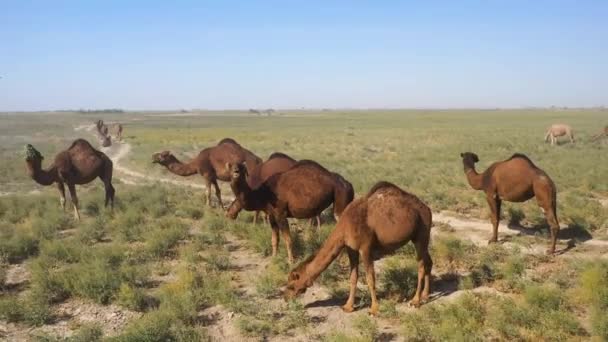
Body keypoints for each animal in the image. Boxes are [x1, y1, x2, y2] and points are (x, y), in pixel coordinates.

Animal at [226, 160, 354, 262]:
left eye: (242, 168)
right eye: (231, 166)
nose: (236, 172)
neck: (264, 194)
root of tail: (349, 184)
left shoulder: (281, 214)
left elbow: (288, 239)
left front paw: (291, 261)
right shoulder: (272, 216)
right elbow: (275, 239)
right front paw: (274, 258)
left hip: (340, 202)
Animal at [284, 182, 432, 316]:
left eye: (291, 285)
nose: (285, 297)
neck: (345, 226)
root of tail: (428, 209)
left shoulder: (365, 248)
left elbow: (370, 278)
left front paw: (374, 309)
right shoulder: (351, 248)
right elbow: (353, 277)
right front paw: (348, 306)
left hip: (422, 234)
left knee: (421, 265)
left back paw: (415, 301)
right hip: (419, 237)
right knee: (428, 261)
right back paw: (425, 295)